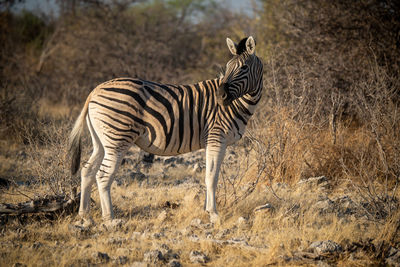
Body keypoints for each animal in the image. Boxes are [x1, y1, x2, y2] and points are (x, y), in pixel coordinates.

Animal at [67, 35, 264, 224]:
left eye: (244, 67)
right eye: (228, 67)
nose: (220, 96)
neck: (237, 104)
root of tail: (95, 90)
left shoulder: (211, 141)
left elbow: (208, 175)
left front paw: (206, 210)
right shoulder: (217, 138)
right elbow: (212, 177)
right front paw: (214, 214)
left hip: (101, 140)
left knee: (87, 171)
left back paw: (85, 216)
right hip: (117, 138)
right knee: (103, 176)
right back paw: (109, 219)